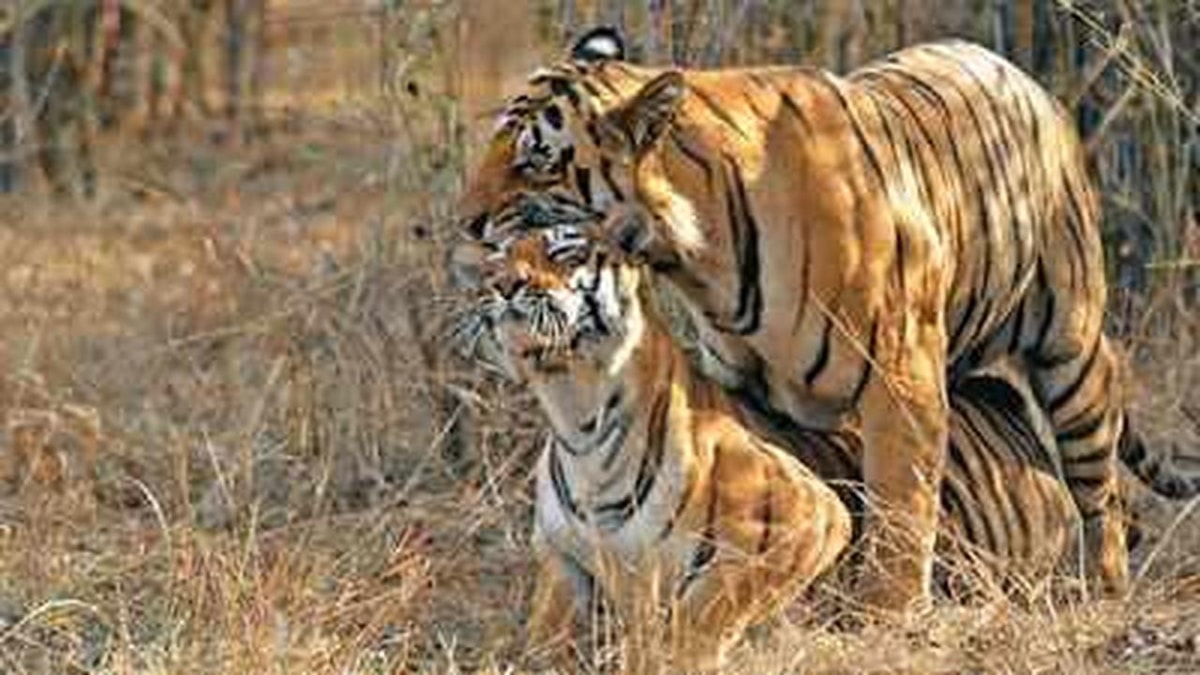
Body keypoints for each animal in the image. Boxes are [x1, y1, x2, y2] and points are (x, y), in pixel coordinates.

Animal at [450, 27, 1200, 612]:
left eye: (535, 162)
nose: (467, 222)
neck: (695, 253)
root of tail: (1022, 78)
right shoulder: (741, 379)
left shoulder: (901, 374)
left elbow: (902, 505)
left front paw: (887, 614)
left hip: (1069, 349)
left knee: (1098, 489)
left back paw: (1104, 586)